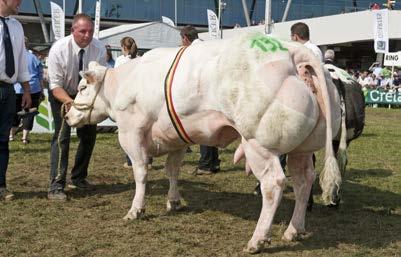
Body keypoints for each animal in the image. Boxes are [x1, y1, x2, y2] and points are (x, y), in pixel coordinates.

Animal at [64, 32, 340, 252]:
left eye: (82, 87)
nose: (67, 116)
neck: (124, 83)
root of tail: (292, 50)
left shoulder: (131, 133)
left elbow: (141, 173)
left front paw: (136, 210)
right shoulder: (176, 136)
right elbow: (172, 170)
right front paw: (174, 201)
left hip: (259, 144)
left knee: (273, 184)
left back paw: (257, 240)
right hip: (301, 148)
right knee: (304, 181)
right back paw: (293, 230)